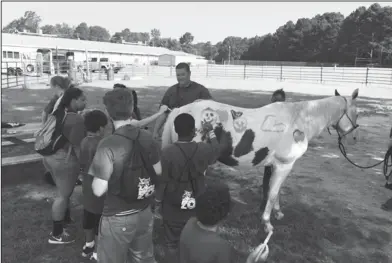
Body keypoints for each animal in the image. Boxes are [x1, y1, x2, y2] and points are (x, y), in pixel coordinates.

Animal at [161, 88, 360, 233]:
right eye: (357, 113)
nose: (355, 137)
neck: (299, 119)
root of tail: (179, 110)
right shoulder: (284, 165)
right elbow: (272, 193)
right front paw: (266, 223)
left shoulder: (276, 166)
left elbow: (275, 191)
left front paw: (277, 213)